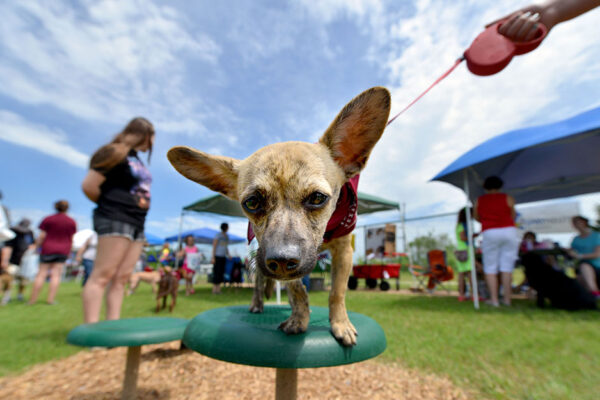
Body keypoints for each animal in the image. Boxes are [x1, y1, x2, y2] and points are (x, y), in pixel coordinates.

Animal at [166, 86, 392, 344]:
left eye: (318, 198)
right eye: (251, 202)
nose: (281, 260)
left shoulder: (344, 252)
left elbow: (337, 292)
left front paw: (340, 324)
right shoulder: (281, 267)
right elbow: (298, 291)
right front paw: (299, 319)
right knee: (259, 283)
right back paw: (257, 304)